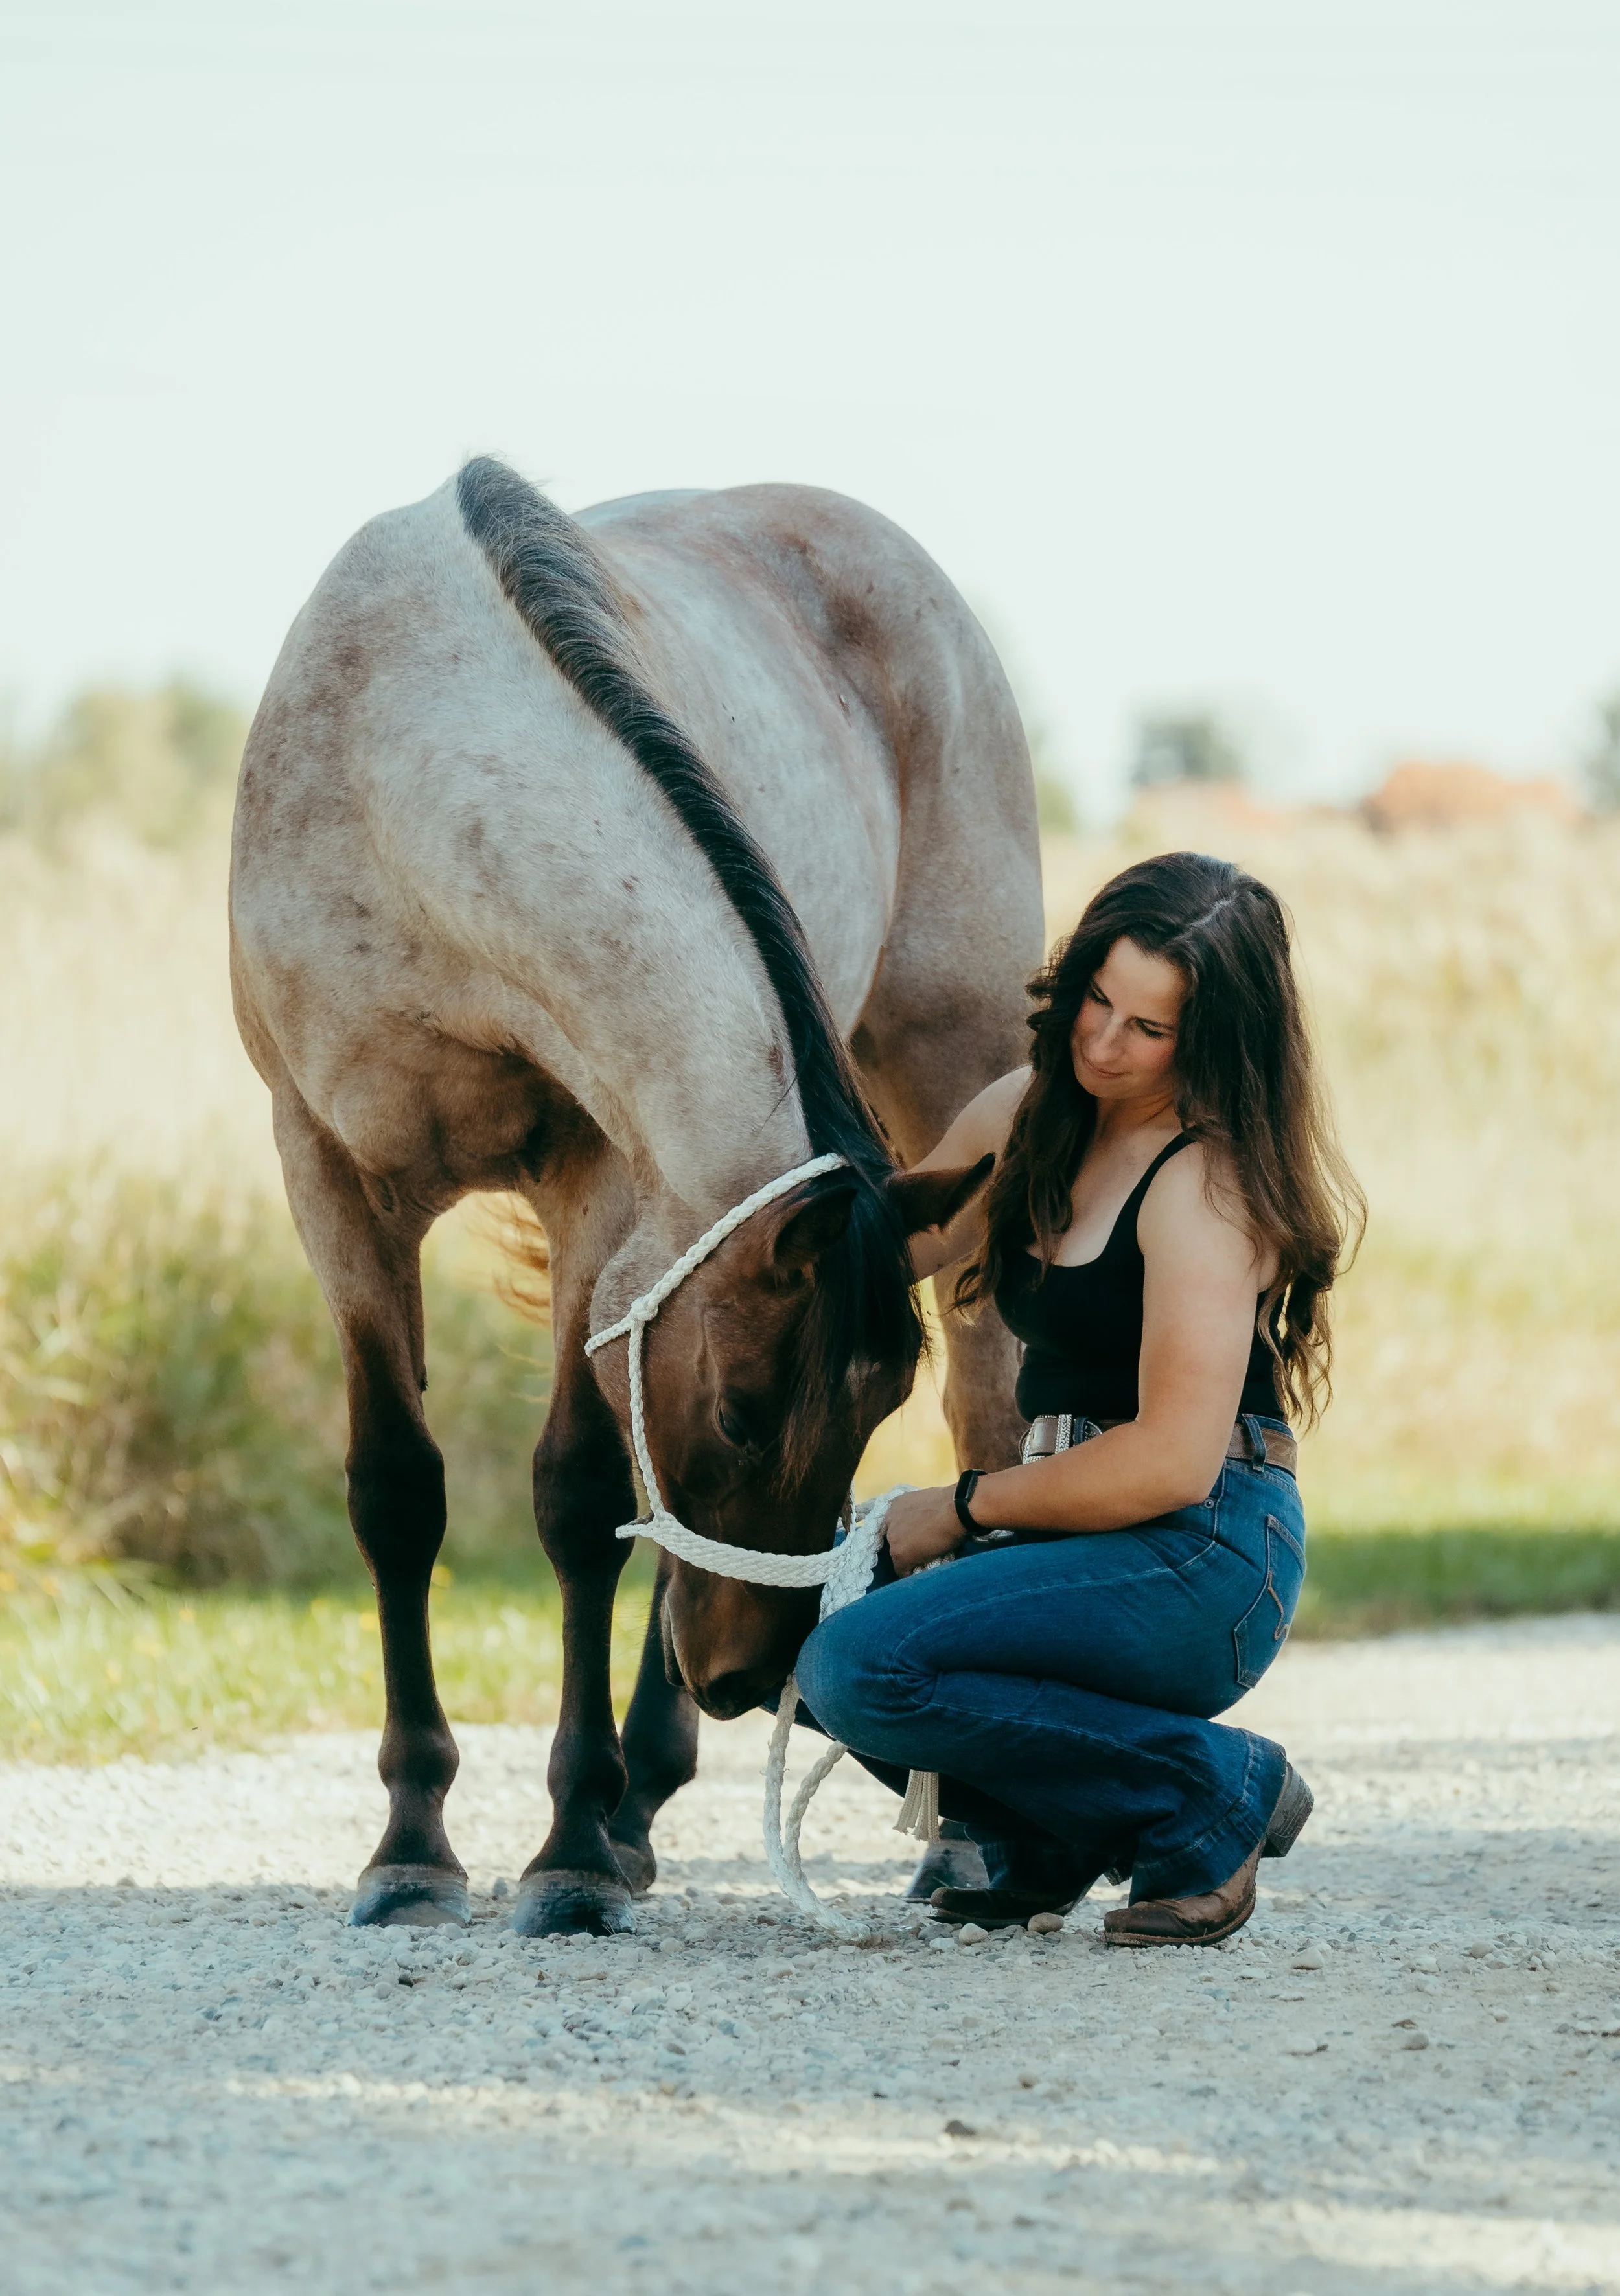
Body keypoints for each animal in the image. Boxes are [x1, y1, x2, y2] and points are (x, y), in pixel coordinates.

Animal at [229, 457, 1042, 1936]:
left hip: (947, 1054)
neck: (404, 782)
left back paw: (933, 1837)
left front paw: (565, 1848)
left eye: (867, 1415)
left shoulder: (594, 1174)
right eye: (739, 1414)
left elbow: (578, 1489)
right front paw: (413, 1844)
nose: (749, 1677)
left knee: (991, 1408)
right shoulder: (326, 1170)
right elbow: (397, 1492)